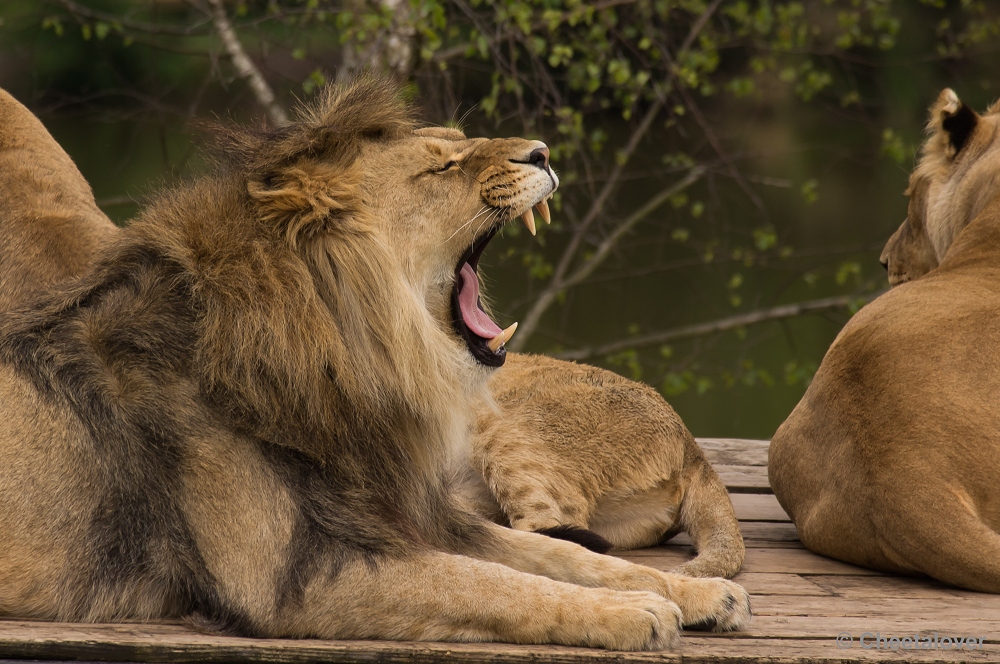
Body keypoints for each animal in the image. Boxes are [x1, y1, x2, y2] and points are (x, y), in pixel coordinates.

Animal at [0, 78, 752, 648]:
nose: (542, 150)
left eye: (460, 143)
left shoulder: (414, 512)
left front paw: (701, 593)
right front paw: (635, 612)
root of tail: (692, 449)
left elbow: (562, 556)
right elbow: (493, 584)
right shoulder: (297, 581)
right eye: (442, 166)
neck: (352, 367)